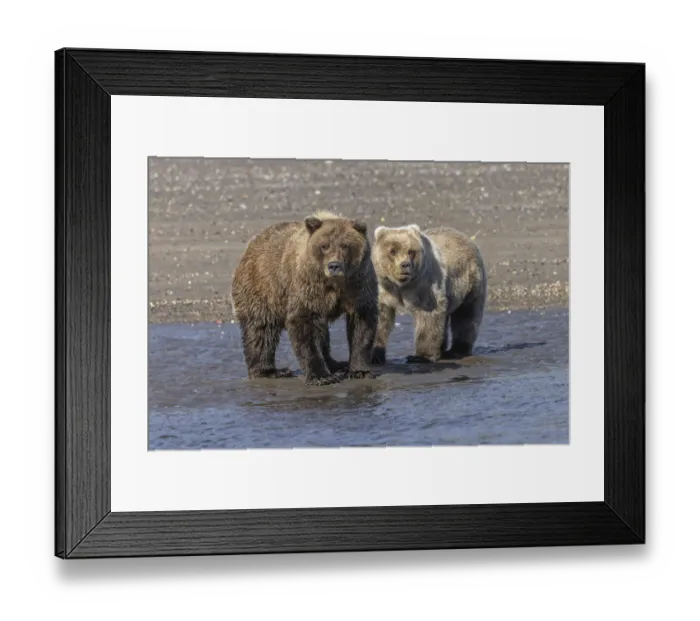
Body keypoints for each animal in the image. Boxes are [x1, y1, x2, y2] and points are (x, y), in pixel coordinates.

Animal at [231, 210, 379, 385]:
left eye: (345, 245)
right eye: (324, 246)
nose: (334, 265)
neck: (334, 283)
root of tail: (252, 243)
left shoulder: (358, 284)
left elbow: (362, 324)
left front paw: (359, 371)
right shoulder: (308, 285)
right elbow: (305, 325)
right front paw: (321, 376)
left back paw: (335, 364)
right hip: (263, 287)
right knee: (261, 329)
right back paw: (270, 371)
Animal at [370, 224, 487, 364]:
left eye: (411, 251)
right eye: (392, 251)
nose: (405, 264)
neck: (400, 285)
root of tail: (466, 238)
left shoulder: (424, 284)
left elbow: (428, 316)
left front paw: (420, 356)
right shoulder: (383, 289)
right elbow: (379, 318)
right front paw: (374, 356)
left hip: (470, 282)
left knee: (466, 316)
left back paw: (457, 350)